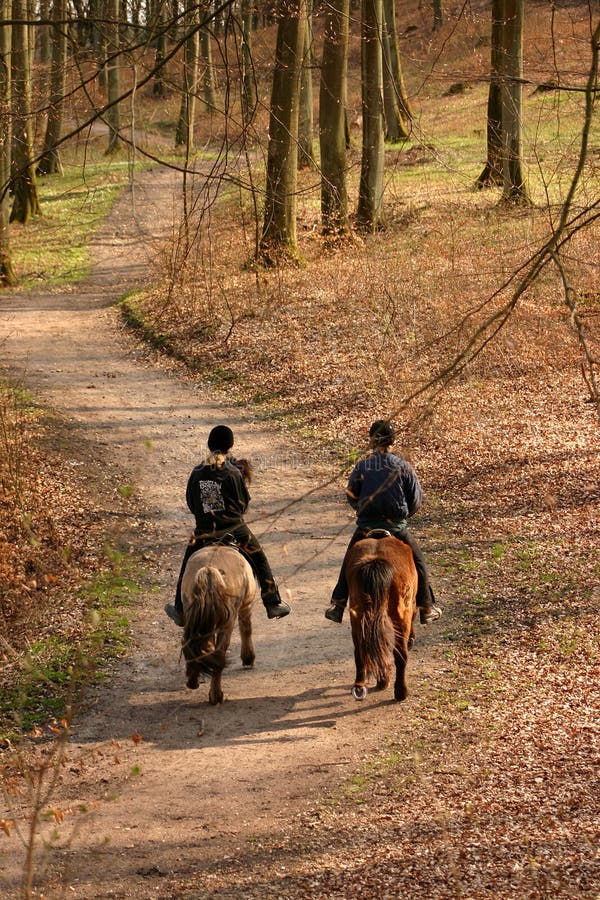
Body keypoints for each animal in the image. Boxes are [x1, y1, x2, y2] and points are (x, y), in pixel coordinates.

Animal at [180, 540, 255, 704]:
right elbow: (246, 629)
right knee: (219, 652)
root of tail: (209, 569)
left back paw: (193, 681)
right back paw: (216, 695)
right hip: (228, 620)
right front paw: (248, 658)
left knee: (194, 644)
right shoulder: (246, 607)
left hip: (194, 615)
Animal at [344, 536, 420, 704]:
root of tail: (376, 562)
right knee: (400, 654)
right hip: (400, 614)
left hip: (358, 615)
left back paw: (361, 686)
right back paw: (400, 692)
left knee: (362, 649)